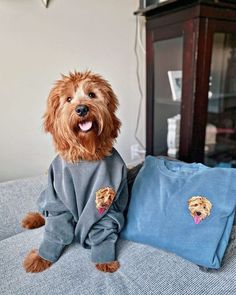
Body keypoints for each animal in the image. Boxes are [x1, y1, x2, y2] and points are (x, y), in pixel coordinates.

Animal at [21, 70, 125, 274]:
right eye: (68, 99)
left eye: (92, 94)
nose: (82, 109)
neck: (86, 153)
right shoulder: (57, 201)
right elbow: (55, 227)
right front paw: (41, 258)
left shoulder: (109, 207)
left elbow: (104, 228)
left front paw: (105, 260)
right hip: (46, 196)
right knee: (43, 212)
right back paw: (33, 219)